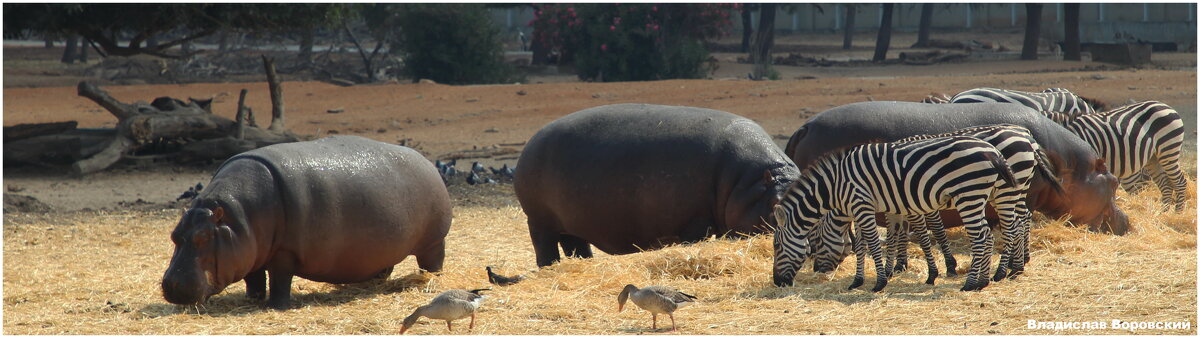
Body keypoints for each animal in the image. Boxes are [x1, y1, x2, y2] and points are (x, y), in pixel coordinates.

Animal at [162, 136, 451, 309]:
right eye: (174, 235)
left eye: (202, 237)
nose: (171, 285)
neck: (235, 218)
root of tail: (426, 161)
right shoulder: (249, 249)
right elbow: (254, 278)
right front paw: (252, 299)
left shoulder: (283, 252)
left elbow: (279, 280)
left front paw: (275, 306)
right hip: (385, 245)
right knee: (384, 266)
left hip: (434, 241)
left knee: (432, 263)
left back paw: (430, 280)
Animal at [513, 103, 801, 267]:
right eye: (776, 204)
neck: (745, 182)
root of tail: (531, 141)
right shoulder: (693, 222)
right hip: (538, 220)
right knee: (545, 247)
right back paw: (549, 267)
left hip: (572, 223)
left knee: (576, 246)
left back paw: (584, 264)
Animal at [772, 134, 1017, 290]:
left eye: (776, 246)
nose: (777, 282)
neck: (835, 185)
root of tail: (993, 151)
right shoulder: (864, 209)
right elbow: (862, 245)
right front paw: (858, 281)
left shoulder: (862, 205)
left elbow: (873, 243)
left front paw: (879, 282)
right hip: (983, 194)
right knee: (992, 233)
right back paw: (983, 281)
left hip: (969, 194)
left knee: (982, 236)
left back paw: (972, 283)